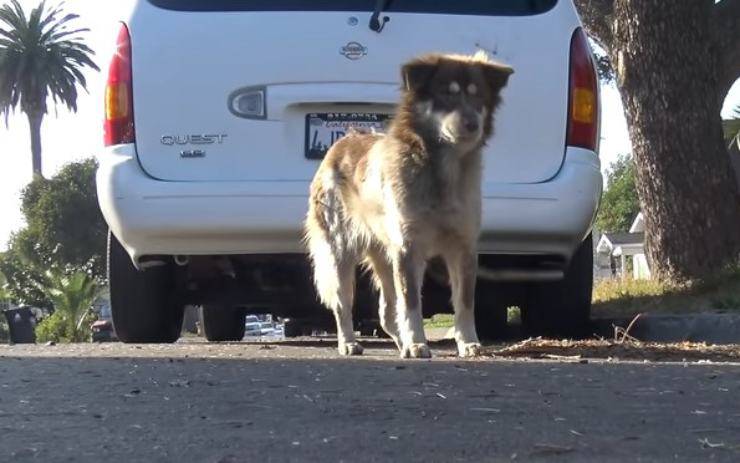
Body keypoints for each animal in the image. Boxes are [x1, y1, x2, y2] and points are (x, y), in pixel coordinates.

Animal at [304, 51, 512, 358]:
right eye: (445, 94)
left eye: (479, 97)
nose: (472, 124)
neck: (442, 167)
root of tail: (344, 139)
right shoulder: (408, 247)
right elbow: (411, 302)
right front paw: (416, 343)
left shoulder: (463, 245)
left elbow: (464, 301)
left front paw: (468, 343)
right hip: (340, 248)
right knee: (344, 302)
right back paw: (349, 342)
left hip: (384, 253)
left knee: (388, 312)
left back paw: (399, 341)